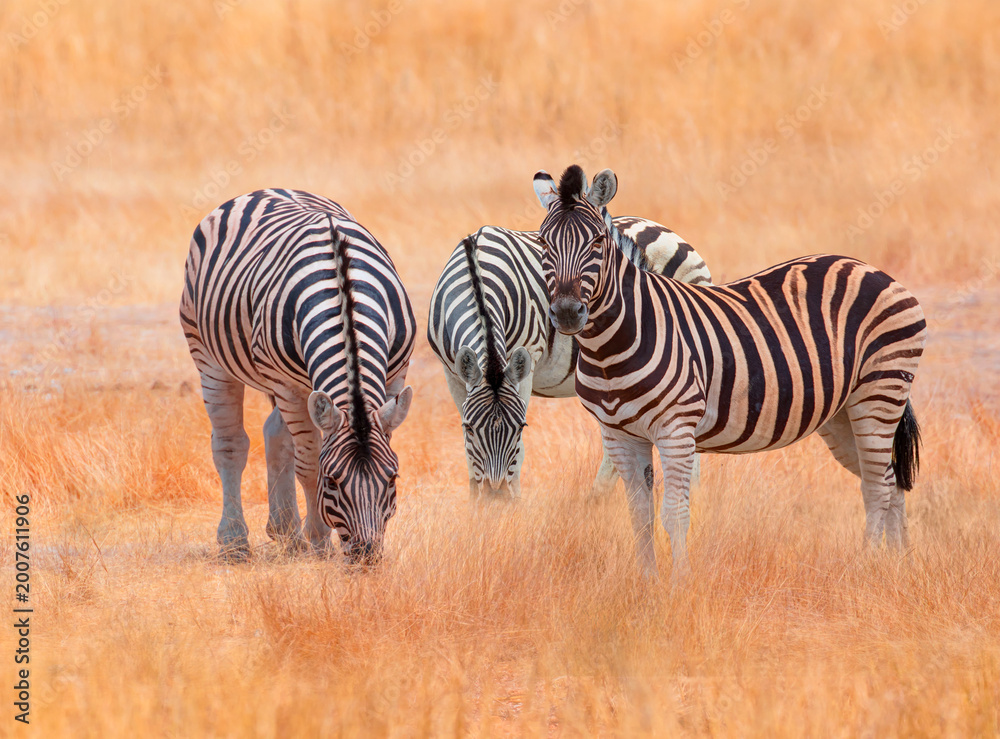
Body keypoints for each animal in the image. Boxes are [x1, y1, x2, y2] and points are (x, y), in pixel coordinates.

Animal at [179, 189, 416, 564]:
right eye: (332, 482)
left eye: (392, 479)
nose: (365, 556)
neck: (343, 293)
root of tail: (264, 191)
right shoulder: (288, 387)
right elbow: (309, 465)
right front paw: (318, 540)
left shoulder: (394, 374)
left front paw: (306, 535)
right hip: (208, 356)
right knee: (230, 445)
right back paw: (235, 541)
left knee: (275, 432)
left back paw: (285, 530)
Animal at [427, 173, 711, 498]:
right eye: (470, 427)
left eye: (521, 426)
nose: (496, 496)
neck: (477, 276)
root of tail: (665, 230)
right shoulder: (451, 372)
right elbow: (467, 451)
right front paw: (477, 502)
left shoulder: (527, 359)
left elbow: (518, 454)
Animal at [536, 165, 926, 579]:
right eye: (543, 243)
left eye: (596, 242)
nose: (566, 313)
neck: (611, 349)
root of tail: (867, 267)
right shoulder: (618, 435)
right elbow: (639, 516)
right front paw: (646, 584)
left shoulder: (676, 429)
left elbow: (674, 514)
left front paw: (679, 585)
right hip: (842, 413)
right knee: (890, 480)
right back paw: (899, 567)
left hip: (880, 390)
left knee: (877, 487)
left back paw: (865, 567)